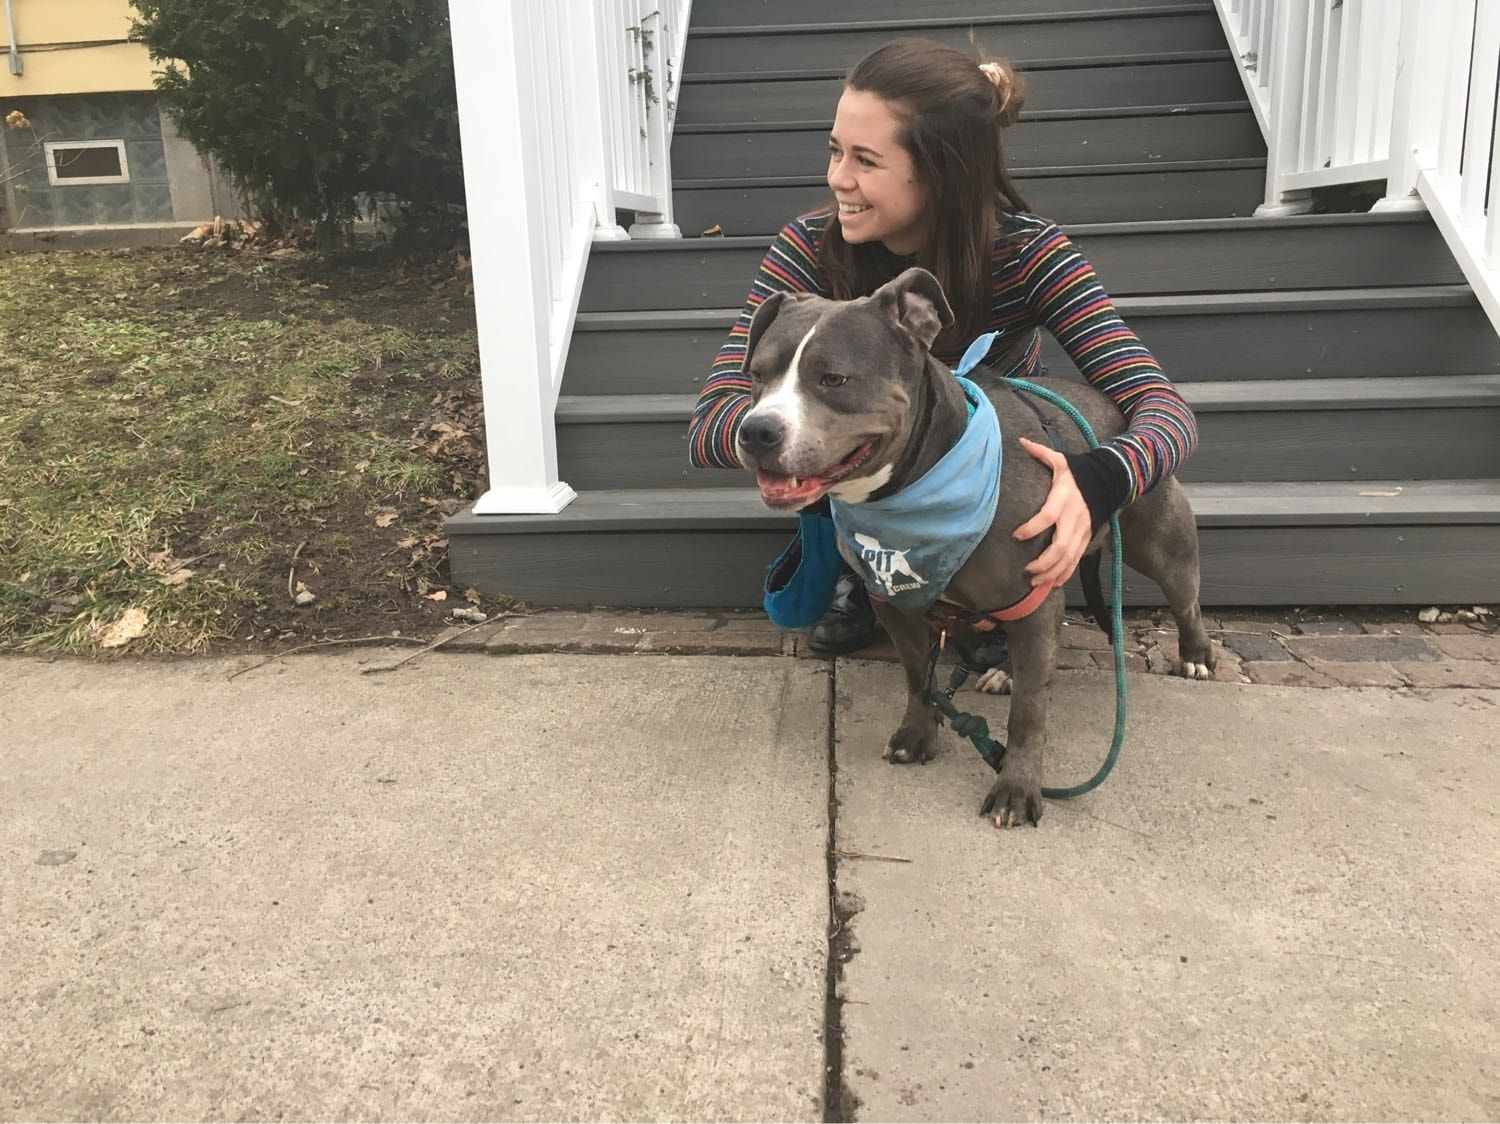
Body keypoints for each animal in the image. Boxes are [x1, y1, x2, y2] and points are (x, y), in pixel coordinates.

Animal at [735, 267, 1214, 827]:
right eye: (757, 376)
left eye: (833, 379)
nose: (756, 430)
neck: (922, 478)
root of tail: (1117, 409)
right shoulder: (895, 605)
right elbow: (918, 677)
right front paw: (917, 734)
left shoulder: (1034, 597)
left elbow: (1029, 712)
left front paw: (1017, 787)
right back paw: (1004, 670)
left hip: (1159, 542)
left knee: (1185, 599)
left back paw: (1195, 656)